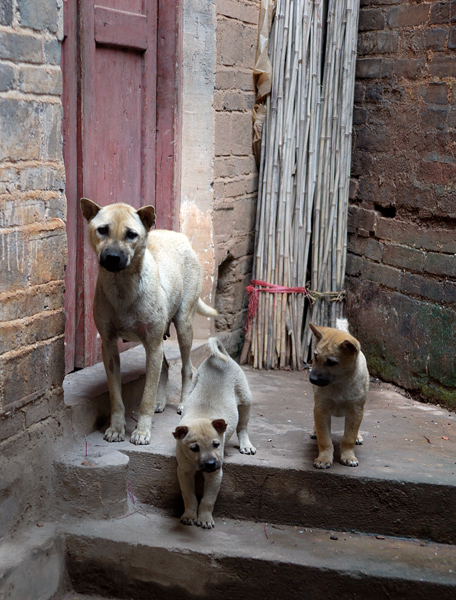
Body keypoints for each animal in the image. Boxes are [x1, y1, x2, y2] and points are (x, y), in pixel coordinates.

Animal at [80, 198, 217, 446]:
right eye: (102, 230)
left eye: (131, 234)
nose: (112, 258)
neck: (122, 285)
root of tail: (180, 237)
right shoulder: (110, 348)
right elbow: (116, 397)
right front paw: (117, 428)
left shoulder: (152, 345)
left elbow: (145, 398)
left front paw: (142, 432)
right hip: (160, 339)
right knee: (165, 367)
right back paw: (160, 402)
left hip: (183, 327)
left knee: (187, 369)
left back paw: (183, 403)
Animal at [172, 338, 255, 528]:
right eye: (194, 448)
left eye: (216, 444)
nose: (210, 464)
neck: (201, 416)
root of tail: (219, 358)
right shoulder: (184, 471)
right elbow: (189, 496)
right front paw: (189, 514)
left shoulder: (215, 475)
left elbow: (208, 499)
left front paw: (204, 518)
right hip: (194, 384)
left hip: (245, 399)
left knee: (242, 427)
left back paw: (246, 445)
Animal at [308, 322, 368, 472]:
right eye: (316, 356)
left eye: (331, 362)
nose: (312, 379)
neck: (339, 383)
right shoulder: (321, 409)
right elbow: (324, 439)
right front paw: (324, 459)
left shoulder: (355, 410)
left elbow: (349, 437)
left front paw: (348, 456)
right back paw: (315, 431)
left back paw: (358, 436)